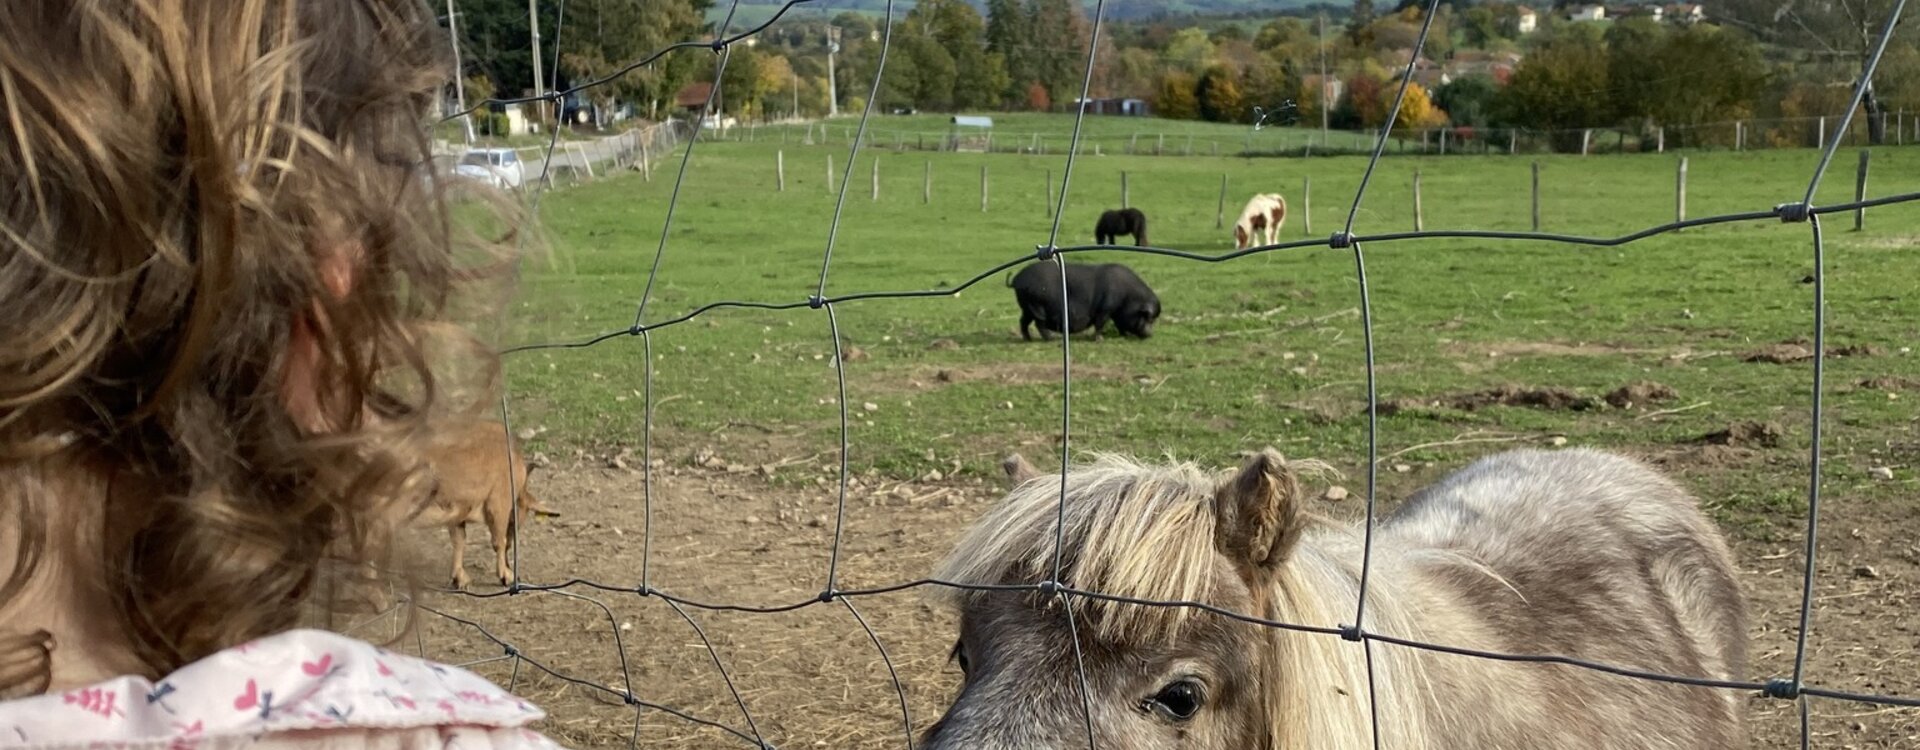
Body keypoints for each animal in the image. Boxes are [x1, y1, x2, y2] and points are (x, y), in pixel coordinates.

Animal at [408, 420, 552, 590]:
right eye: (513, 522)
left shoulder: (458, 511)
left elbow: (459, 540)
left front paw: (459, 578)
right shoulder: (499, 503)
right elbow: (499, 541)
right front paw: (506, 575)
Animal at [1013, 260, 1159, 339]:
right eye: (1149, 318)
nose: (1150, 334)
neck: (1128, 297)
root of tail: (1017, 279)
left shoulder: (1115, 312)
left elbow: (1119, 324)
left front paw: (1124, 335)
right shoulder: (1105, 309)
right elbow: (1100, 323)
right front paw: (1099, 339)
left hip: (1027, 307)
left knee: (1023, 321)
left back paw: (1028, 339)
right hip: (1038, 306)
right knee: (1039, 324)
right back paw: (1050, 338)